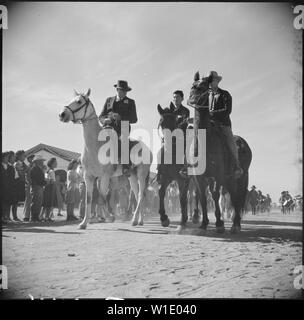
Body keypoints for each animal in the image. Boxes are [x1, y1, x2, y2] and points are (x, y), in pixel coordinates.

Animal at [58, 89, 151, 229]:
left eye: (79, 101)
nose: (62, 114)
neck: (95, 145)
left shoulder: (105, 176)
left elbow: (102, 197)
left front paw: (109, 217)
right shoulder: (89, 176)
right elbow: (90, 199)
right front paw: (84, 223)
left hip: (141, 174)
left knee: (140, 195)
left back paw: (134, 219)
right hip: (132, 176)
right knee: (136, 194)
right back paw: (139, 221)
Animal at [188, 71, 252, 234]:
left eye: (204, 86)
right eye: (193, 85)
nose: (192, 99)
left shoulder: (218, 175)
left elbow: (215, 195)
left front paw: (219, 224)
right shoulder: (199, 178)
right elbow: (203, 197)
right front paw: (204, 223)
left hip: (241, 178)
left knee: (238, 197)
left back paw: (236, 224)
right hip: (229, 180)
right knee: (234, 196)